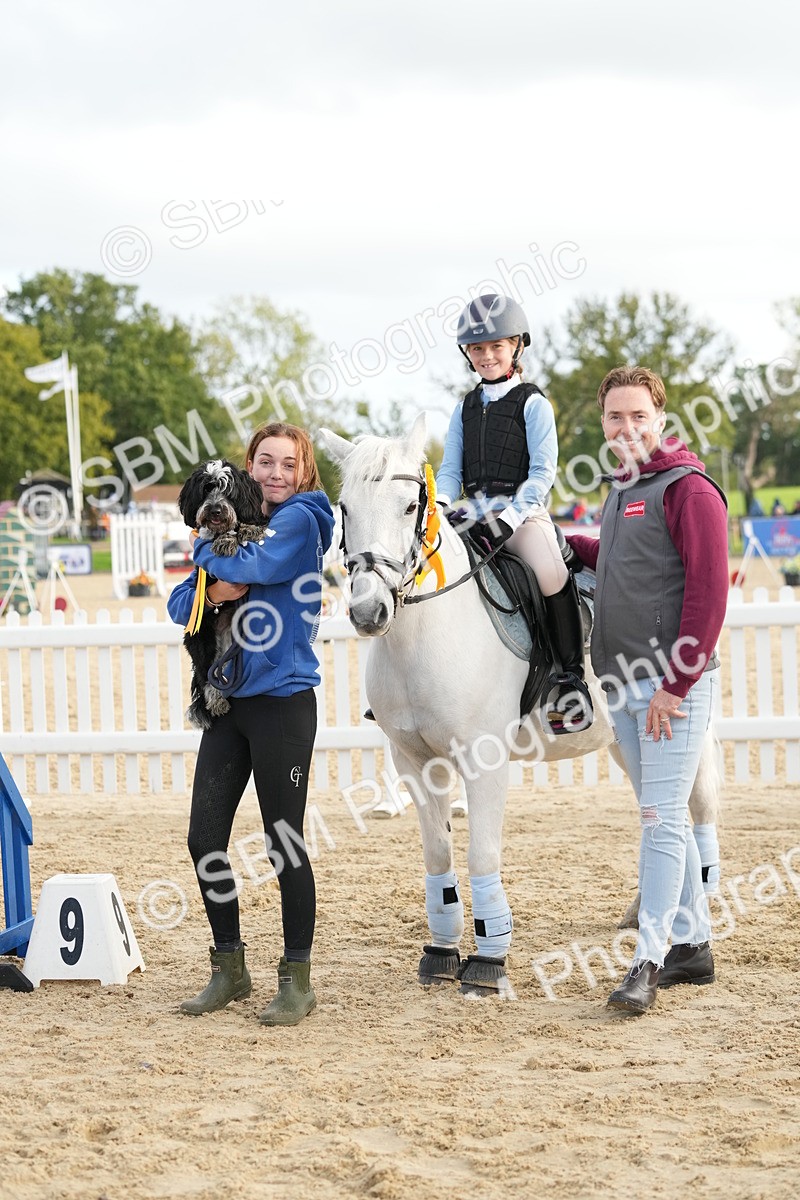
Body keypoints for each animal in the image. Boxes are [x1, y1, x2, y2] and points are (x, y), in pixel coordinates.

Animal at [320, 415, 721, 997]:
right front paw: (441, 951)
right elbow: (437, 854)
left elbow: (481, 853)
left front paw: (489, 960)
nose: (369, 612)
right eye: (344, 507)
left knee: (698, 808)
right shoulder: (413, 761)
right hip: (626, 741)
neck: (423, 633)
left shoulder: (484, 760)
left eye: (410, 505)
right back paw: (642, 909)